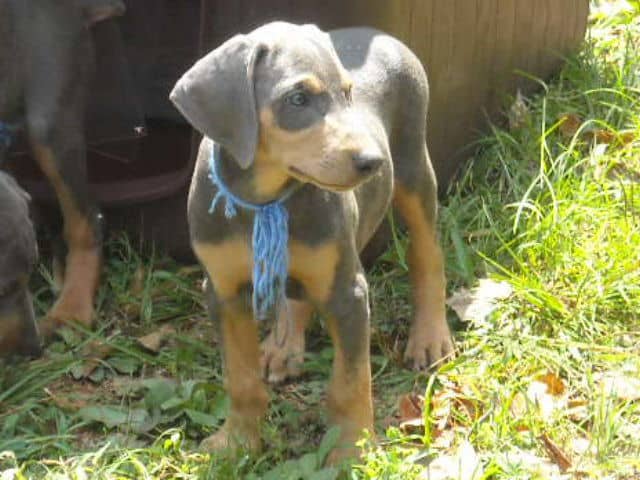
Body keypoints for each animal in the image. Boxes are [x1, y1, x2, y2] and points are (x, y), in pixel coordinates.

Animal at [170, 21, 456, 462]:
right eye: (298, 99)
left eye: (348, 93)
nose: (373, 162)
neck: (265, 201)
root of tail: (380, 33)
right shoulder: (222, 292)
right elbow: (240, 378)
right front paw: (237, 441)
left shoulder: (348, 292)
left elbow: (350, 384)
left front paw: (352, 451)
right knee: (296, 295)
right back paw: (283, 346)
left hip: (413, 168)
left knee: (427, 253)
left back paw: (429, 335)